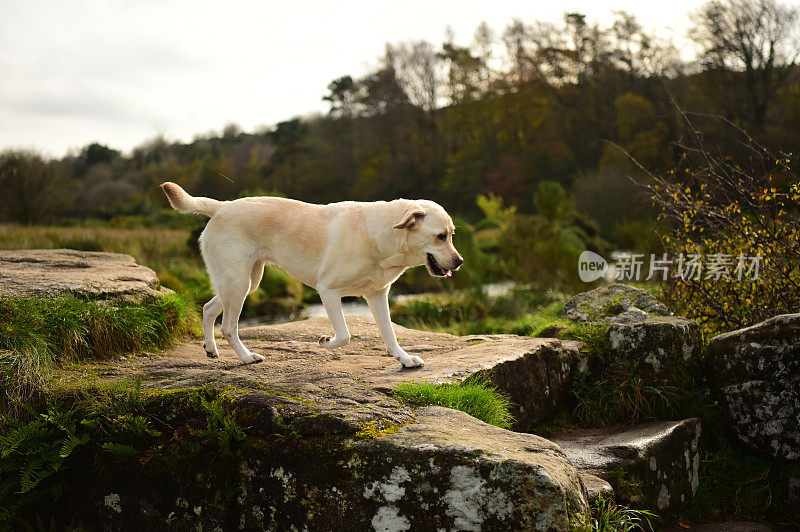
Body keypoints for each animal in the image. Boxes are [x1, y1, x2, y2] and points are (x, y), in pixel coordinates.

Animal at [161, 182, 462, 366]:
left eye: (452, 234)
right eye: (440, 236)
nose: (459, 261)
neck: (380, 237)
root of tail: (222, 205)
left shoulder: (377, 295)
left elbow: (389, 334)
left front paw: (404, 358)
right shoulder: (328, 291)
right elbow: (345, 335)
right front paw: (325, 341)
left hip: (244, 282)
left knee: (209, 308)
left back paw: (211, 349)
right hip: (238, 283)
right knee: (228, 327)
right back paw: (246, 357)